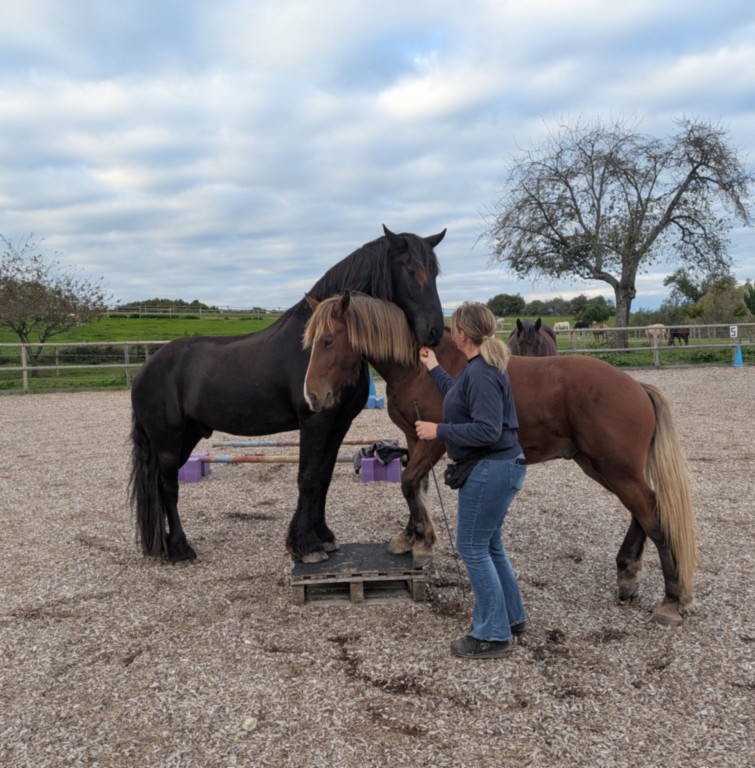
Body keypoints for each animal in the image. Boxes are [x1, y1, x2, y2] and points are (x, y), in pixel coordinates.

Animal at [129, 226, 447, 565]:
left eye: (435, 272)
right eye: (410, 269)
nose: (435, 332)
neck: (311, 345)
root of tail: (146, 369)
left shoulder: (338, 425)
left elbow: (322, 478)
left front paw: (324, 537)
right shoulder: (314, 421)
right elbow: (307, 478)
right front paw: (306, 546)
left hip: (186, 437)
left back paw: (163, 545)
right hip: (167, 441)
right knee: (168, 487)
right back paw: (179, 547)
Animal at [303, 292, 696, 625]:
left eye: (329, 340)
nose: (312, 396)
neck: (419, 369)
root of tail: (637, 387)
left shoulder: (435, 442)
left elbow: (409, 483)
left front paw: (423, 543)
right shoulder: (415, 440)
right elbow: (415, 488)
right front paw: (411, 536)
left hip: (616, 469)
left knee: (654, 517)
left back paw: (671, 601)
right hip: (604, 467)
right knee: (643, 512)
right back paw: (627, 575)